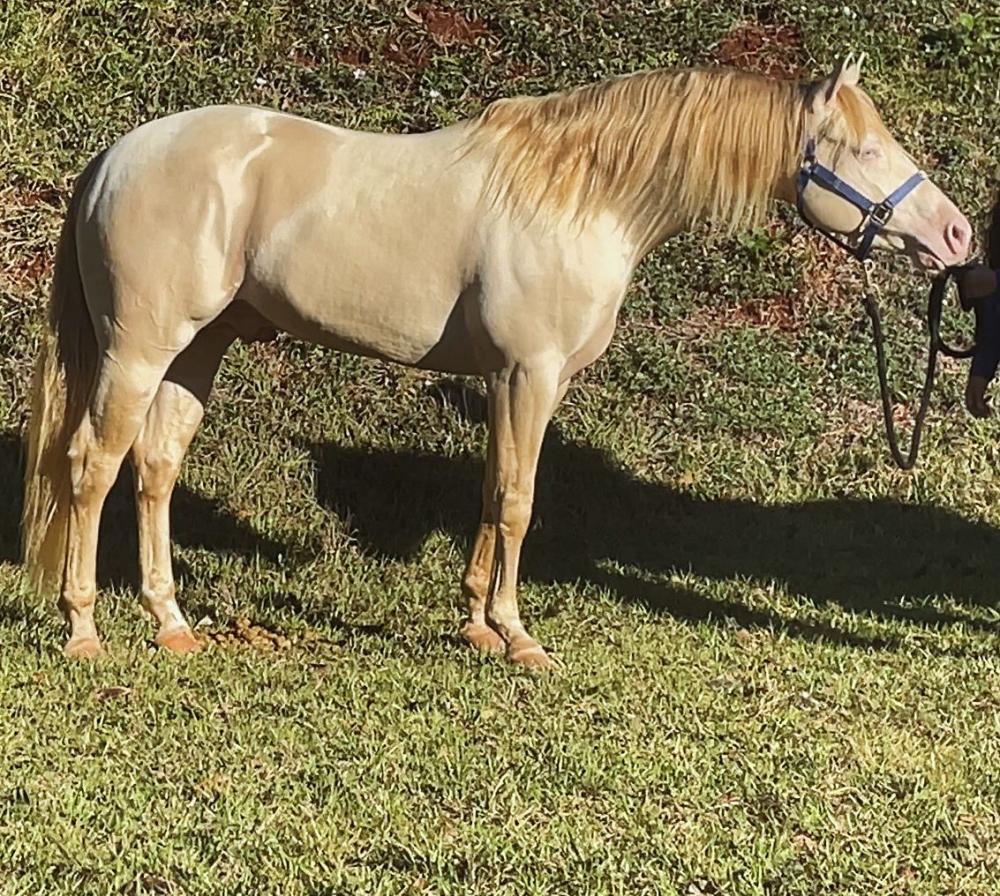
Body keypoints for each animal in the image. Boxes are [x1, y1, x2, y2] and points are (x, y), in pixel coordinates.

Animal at [22, 54, 971, 665]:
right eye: (865, 149)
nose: (958, 236)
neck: (584, 195)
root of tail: (116, 156)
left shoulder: (505, 383)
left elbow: (489, 491)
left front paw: (477, 622)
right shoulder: (530, 375)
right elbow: (518, 501)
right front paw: (518, 636)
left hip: (200, 347)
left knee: (155, 470)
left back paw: (171, 622)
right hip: (139, 349)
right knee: (91, 466)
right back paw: (84, 631)